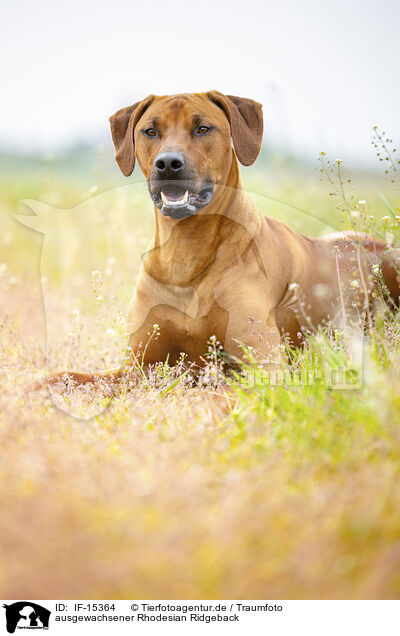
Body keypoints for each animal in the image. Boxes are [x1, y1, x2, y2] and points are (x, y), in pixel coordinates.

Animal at [44, 91, 400, 386]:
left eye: (203, 129)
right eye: (150, 131)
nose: (168, 163)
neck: (185, 251)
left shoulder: (264, 367)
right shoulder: (133, 367)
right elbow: (61, 377)